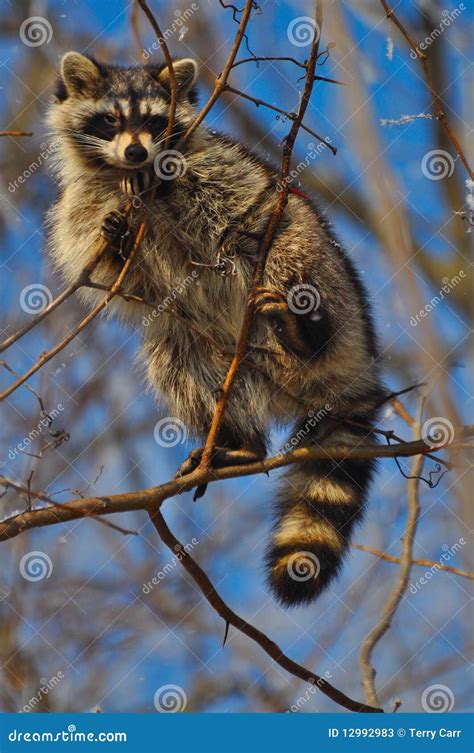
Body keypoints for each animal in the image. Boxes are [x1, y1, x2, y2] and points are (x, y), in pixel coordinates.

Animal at [46, 53, 386, 604]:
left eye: (154, 122)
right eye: (111, 120)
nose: (138, 150)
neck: (127, 175)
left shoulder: (220, 167)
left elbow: (223, 198)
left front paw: (162, 181)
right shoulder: (84, 202)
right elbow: (116, 274)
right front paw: (118, 244)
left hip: (323, 270)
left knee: (286, 251)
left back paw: (307, 331)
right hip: (225, 354)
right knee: (176, 353)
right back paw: (241, 441)